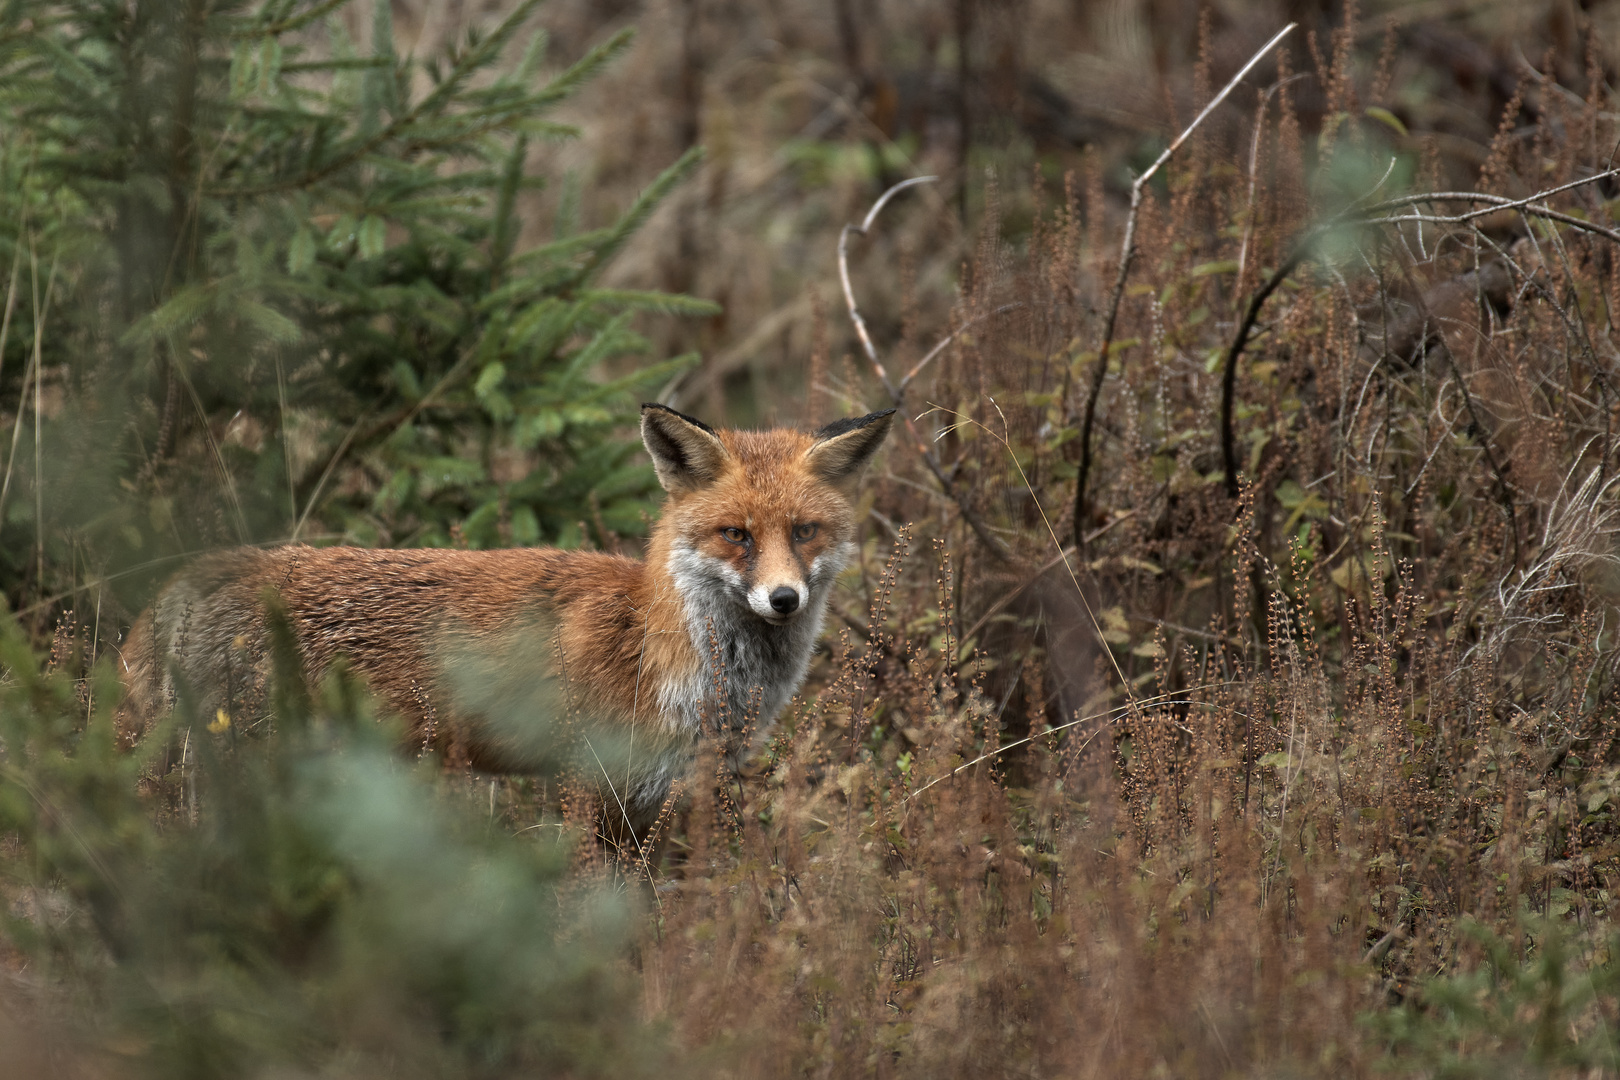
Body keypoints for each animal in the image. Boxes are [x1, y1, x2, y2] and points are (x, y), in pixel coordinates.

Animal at [118, 404, 894, 835]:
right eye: (736, 535)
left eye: (804, 533)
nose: (784, 600)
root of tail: (191, 576)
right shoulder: (589, 785)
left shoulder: (660, 801)